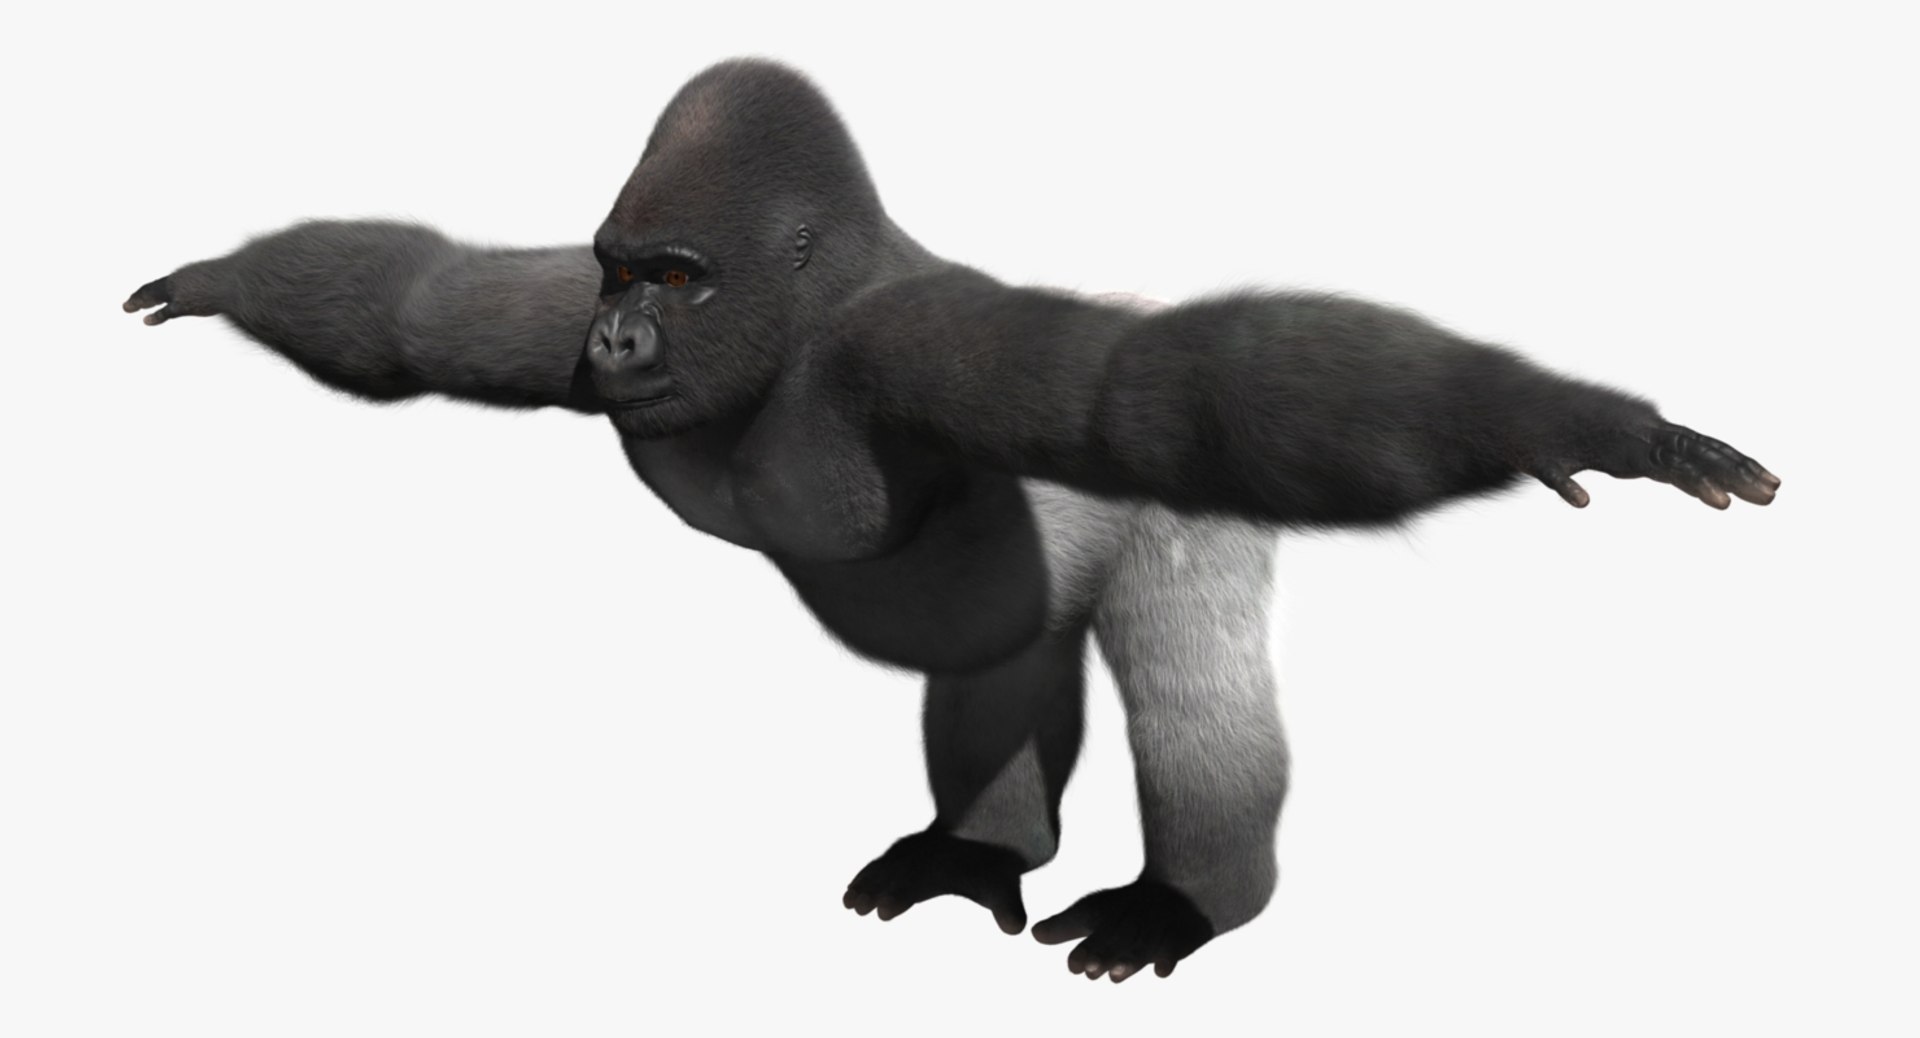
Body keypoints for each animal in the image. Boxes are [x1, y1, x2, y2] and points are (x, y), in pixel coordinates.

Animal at [123, 59, 1777, 983]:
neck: (778, 350)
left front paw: (1581, 423)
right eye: (619, 274)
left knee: (1190, 679)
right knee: (994, 678)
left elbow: (1159, 385)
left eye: (678, 280)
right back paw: (980, 852)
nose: (616, 340)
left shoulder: (911, 351)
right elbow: (415, 309)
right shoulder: (545, 319)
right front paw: (225, 277)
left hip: (1179, 527)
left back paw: (1189, 899)